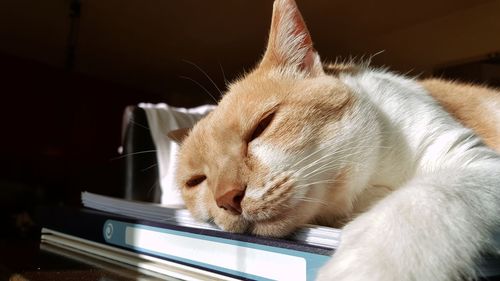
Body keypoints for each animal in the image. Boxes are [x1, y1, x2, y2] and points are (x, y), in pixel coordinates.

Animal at [172, 1, 500, 278]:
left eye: (262, 126)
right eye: (196, 180)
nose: (227, 198)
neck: (366, 186)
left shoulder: (473, 160)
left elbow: (422, 200)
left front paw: (367, 266)